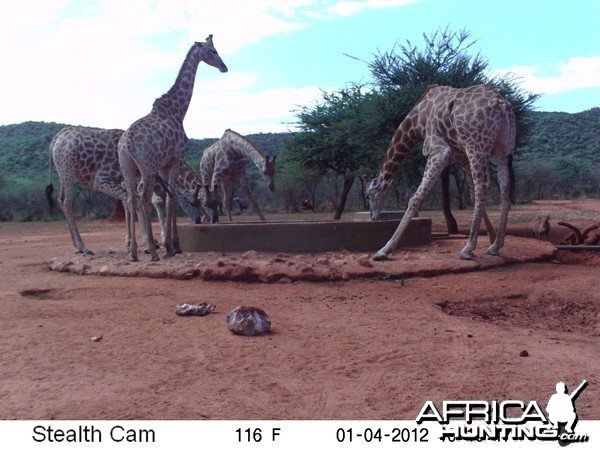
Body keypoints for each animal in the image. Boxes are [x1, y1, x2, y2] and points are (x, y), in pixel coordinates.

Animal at [47, 125, 216, 255]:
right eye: (194, 203)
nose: (199, 220)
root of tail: (55, 140)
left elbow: (137, 203)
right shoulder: (127, 179)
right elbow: (150, 202)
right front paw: (152, 242)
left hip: (64, 174)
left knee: (61, 200)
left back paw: (77, 246)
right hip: (68, 172)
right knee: (68, 202)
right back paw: (84, 247)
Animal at [118, 35, 227, 262]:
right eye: (213, 51)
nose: (224, 67)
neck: (178, 111)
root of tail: (127, 144)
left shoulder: (164, 165)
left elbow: (170, 199)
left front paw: (170, 245)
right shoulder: (175, 159)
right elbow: (172, 199)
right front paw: (173, 246)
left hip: (128, 167)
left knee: (131, 200)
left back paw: (133, 252)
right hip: (146, 169)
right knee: (143, 199)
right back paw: (152, 251)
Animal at [366, 84, 516, 260]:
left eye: (369, 195)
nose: (373, 217)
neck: (417, 120)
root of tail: (502, 105)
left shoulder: (438, 151)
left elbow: (415, 199)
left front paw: (385, 249)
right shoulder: (461, 157)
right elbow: (471, 195)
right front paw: (491, 236)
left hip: (476, 145)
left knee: (483, 186)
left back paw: (468, 248)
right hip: (502, 149)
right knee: (505, 187)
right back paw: (495, 245)